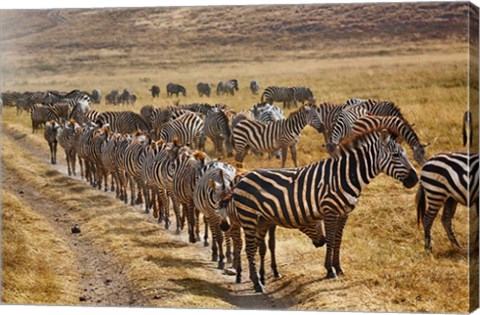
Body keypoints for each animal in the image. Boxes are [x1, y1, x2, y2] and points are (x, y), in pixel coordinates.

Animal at [227, 124, 418, 292]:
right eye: (396, 155)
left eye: (404, 154)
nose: (415, 180)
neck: (345, 176)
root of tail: (241, 178)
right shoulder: (330, 211)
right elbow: (331, 239)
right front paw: (330, 270)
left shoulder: (344, 214)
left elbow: (338, 240)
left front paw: (338, 268)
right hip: (249, 217)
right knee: (249, 248)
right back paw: (257, 284)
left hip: (261, 220)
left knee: (255, 248)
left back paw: (258, 280)